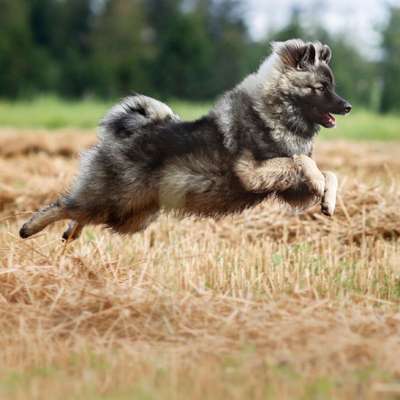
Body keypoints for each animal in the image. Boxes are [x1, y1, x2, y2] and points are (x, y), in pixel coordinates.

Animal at [19, 39, 350, 241]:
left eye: (332, 85)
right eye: (321, 87)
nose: (346, 106)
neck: (275, 110)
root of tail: (131, 130)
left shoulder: (291, 190)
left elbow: (329, 173)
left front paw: (328, 200)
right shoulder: (252, 172)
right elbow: (302, 160)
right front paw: (319, 184)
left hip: (130, 215)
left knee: (82, 214)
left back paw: (70, 233)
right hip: (114, 199)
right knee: (65, 205)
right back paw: (29, 228)